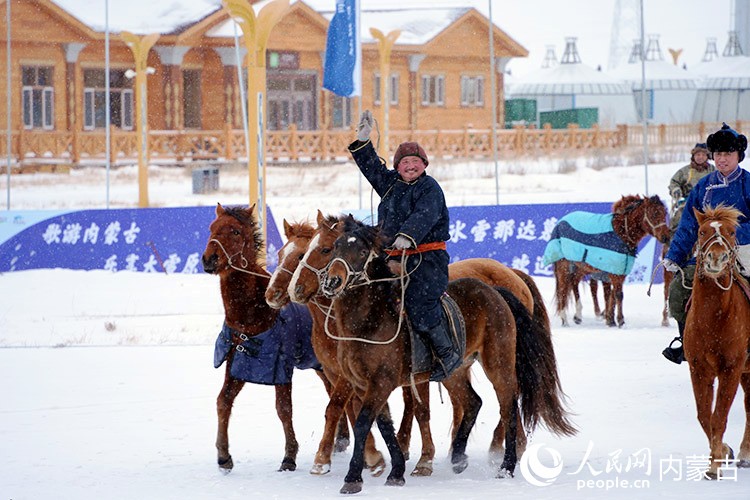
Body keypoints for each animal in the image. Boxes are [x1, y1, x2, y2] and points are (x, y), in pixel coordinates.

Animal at [200, 205, 346, 474]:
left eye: (235, 231)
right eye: (212, 228)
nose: (209, 259)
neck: (254, 312)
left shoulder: (280, 364)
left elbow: (283, 409)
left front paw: (289, 455)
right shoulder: (238, 360)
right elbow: (223, 401)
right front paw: (224, 456)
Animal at [548, 194, 668, 328]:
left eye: (664, 213)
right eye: (654, 214)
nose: (666, 237)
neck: (622, 233)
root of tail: (560, 222)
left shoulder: (620, 272)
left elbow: (613, 294)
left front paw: (611, 319)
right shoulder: (612, 273)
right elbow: (617, 295)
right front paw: (619, 320)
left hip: (581, 267)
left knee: (574, 282)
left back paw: (578, 315)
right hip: (564, 266)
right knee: (563, 290)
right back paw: (565, 319)